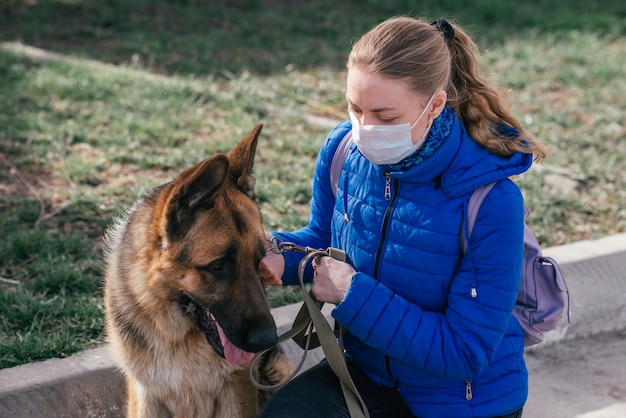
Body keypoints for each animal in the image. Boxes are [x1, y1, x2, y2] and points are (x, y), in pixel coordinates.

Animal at [103, 124, 290, 418]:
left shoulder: (237, 391)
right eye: (217, 266)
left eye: (259, 260)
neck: (177, 336)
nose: (267, 340)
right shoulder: (145, 395)